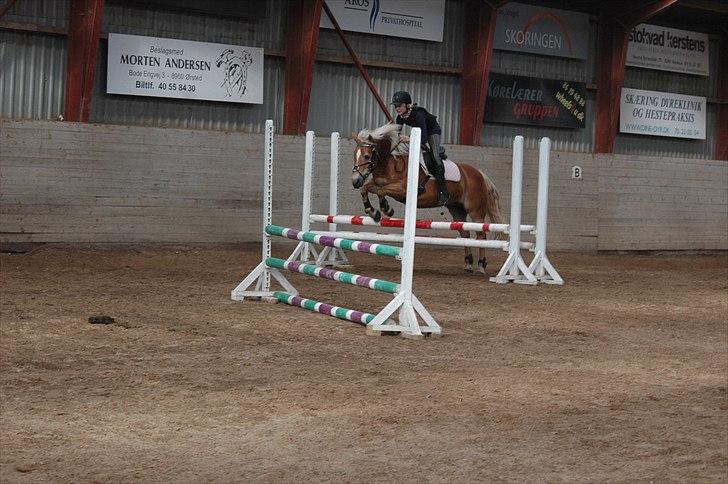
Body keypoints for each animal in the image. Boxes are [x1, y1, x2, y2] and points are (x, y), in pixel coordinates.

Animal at [350, 123, 504, 274]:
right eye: (354, 155)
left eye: (367, 156)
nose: (355, 181)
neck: (389, 165)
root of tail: (479, 174)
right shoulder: (376, 184)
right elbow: (366, 189)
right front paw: (372, 211)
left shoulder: (401, 190)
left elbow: (382, 191)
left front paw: (386, 209)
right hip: (457, 209)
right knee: (465, 233)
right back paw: (468, 263)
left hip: (475, 211)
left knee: (481, 235)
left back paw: (481, 265)